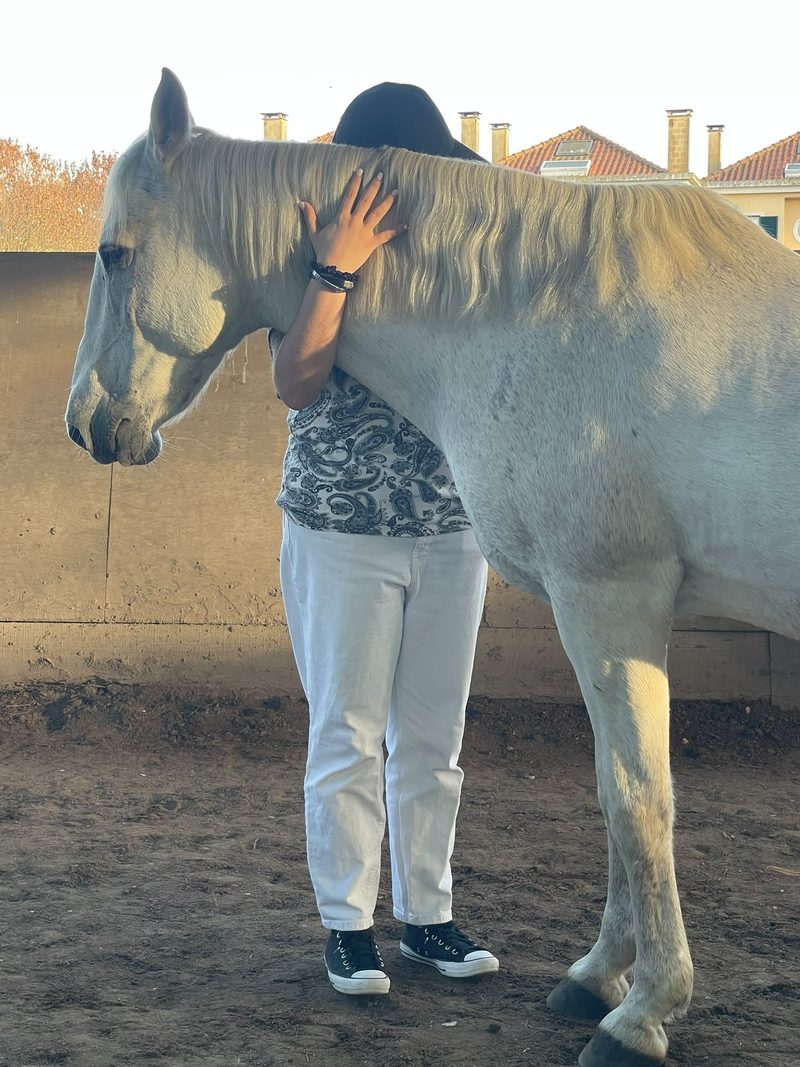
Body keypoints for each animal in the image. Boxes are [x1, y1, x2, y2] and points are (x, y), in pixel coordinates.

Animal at [65, 68, 800, 1067]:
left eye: (114, 254)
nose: (84, 423)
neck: (551, 316)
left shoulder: (612, 601)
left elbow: (636, 800)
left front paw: (642, 1010)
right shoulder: (604, 615)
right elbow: (612, 791)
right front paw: (596, 976)